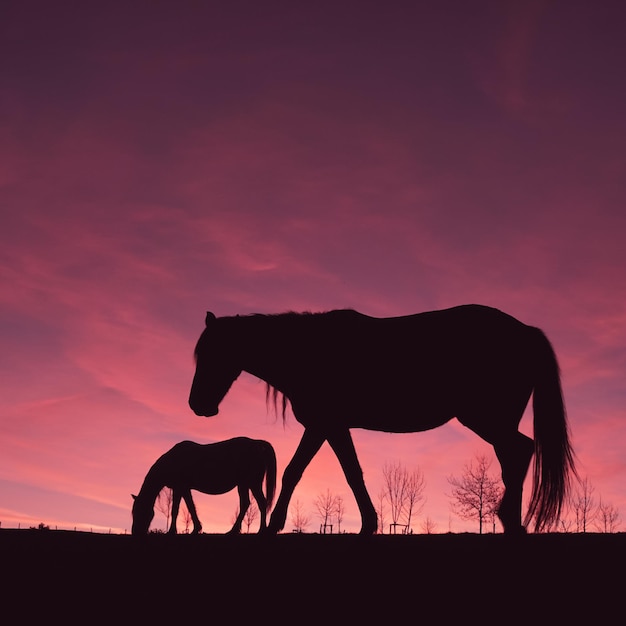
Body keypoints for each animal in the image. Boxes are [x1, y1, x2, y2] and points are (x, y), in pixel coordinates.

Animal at [130, 436, 274, 532]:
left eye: (140, 511)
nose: (136, 532)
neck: (173, 460)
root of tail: (256, 444)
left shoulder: (179, 487)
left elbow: (175, 509)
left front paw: (171, 532)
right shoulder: (185, 488)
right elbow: (191, 507)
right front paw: (197, 528)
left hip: (251, 483)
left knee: (258, 503)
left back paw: (257, 530)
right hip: (245, 484)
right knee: (249, 503)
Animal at [188, 304, 572, 532]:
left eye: (212, 353)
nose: (196, 405)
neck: (307, 351)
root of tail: (527, 331)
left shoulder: (323, 424)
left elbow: (297, 470)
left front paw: (273, 526)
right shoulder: (333, 426)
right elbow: (350, 472)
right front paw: (369, 523)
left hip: (487, 419)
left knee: (519, 451)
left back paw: (509, 518)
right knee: (515, 456)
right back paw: (512, 520)